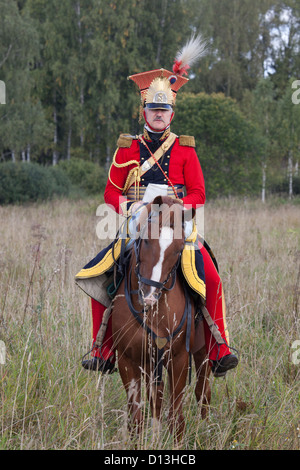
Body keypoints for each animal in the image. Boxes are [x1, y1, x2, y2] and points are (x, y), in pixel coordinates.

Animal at [110, 196, 211, 444]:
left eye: (179, 249)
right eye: (146, 240)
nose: (149, 295)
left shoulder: (179, 358)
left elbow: (176, 417)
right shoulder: (128, 359)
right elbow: (136, 418)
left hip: (202, 351)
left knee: (203, 391)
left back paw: (206, 429)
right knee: (156, 398)